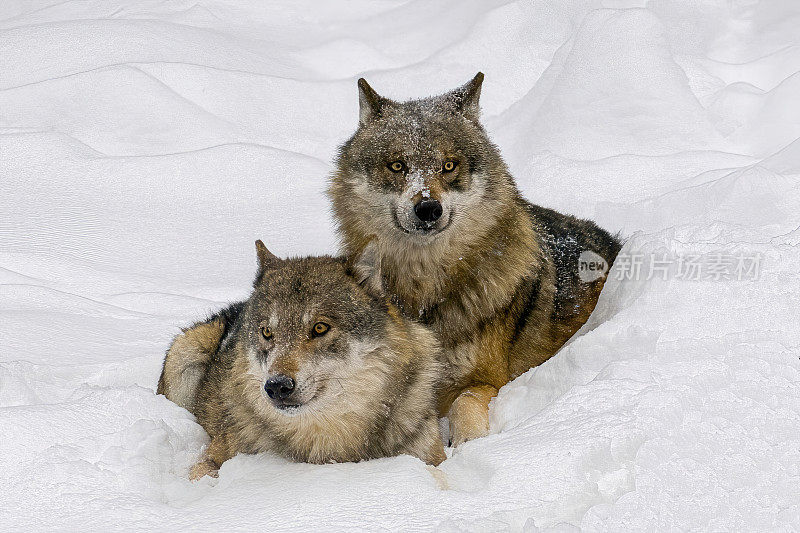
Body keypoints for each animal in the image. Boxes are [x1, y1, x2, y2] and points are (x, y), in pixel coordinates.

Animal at [156, 241, 444, 478]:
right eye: (267, 332)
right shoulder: (208, 461)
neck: (327, 438)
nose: (276, 386)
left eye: (319, 328)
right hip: (187, 351)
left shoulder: (431, 457)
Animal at [328, 71, 620, 444]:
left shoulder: (485, 381)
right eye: (397, 166)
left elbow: (465, 405)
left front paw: (468, 443)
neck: (425, 290)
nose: (428, 208)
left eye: (448, 165)